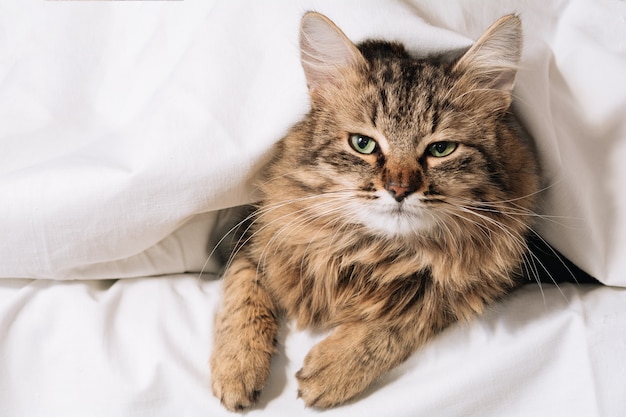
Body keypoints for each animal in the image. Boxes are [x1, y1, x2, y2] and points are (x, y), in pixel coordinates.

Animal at [208, 12, 536, 410]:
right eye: (362, 144)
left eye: (441, 149)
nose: (399, 190)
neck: (373, 254)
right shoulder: (250, 231)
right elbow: (243, 292)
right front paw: (236, 368)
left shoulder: (495, 279)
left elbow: (411, 315)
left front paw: (334, 369)